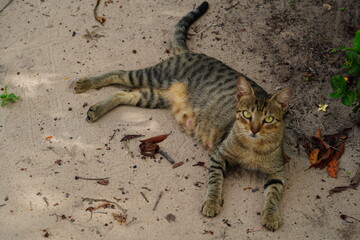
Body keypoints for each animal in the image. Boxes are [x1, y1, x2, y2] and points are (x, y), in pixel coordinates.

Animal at [72, 1, 292, 231]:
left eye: (268, 119)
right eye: (247, 114)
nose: (254, 129)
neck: (252, 148)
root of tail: (191, 53)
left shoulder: (277, 173)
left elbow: (273, 196)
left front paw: (271, 216)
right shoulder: (219, 157)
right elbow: (215, 183)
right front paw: (211, 203)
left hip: (152, 97)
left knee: (122, 94)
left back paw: (97, 108)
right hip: (151, 76)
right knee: (119, 73)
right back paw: (86, 84)